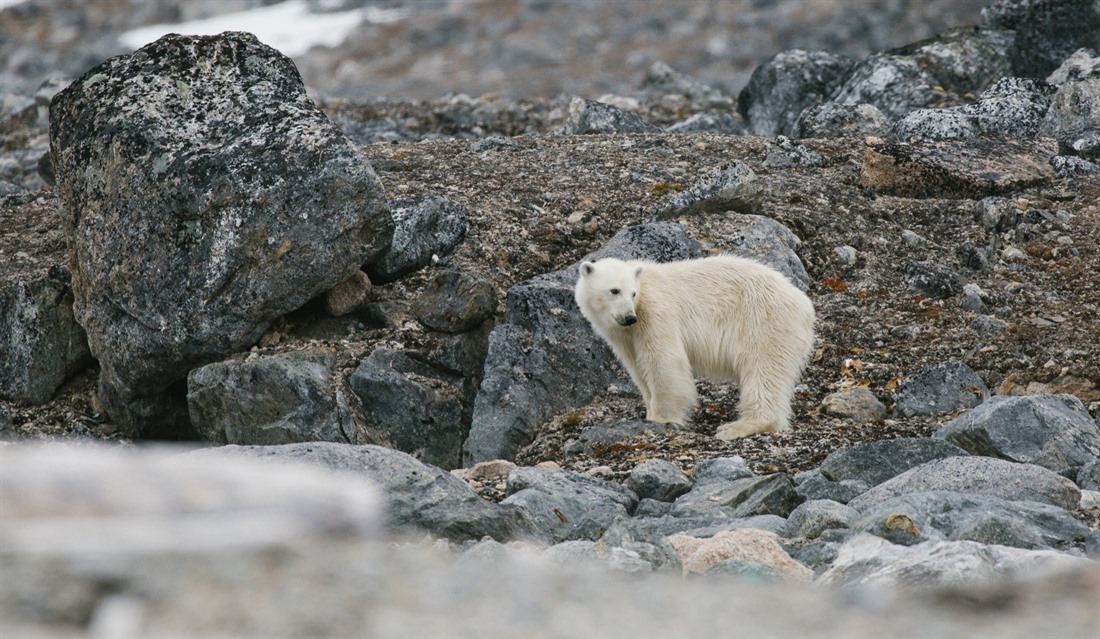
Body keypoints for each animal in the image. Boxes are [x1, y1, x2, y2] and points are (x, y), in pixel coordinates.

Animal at [576, 254, 818, 437]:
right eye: (614, 290)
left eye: (633, 293)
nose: (629, 317)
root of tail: (805, 305)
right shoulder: (623, 337)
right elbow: (637, 368)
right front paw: (649, 412)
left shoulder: (655, 312)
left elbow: (663, 360)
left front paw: (661, 418)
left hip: (764, 321)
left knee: (763, 369)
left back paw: (737, 427)